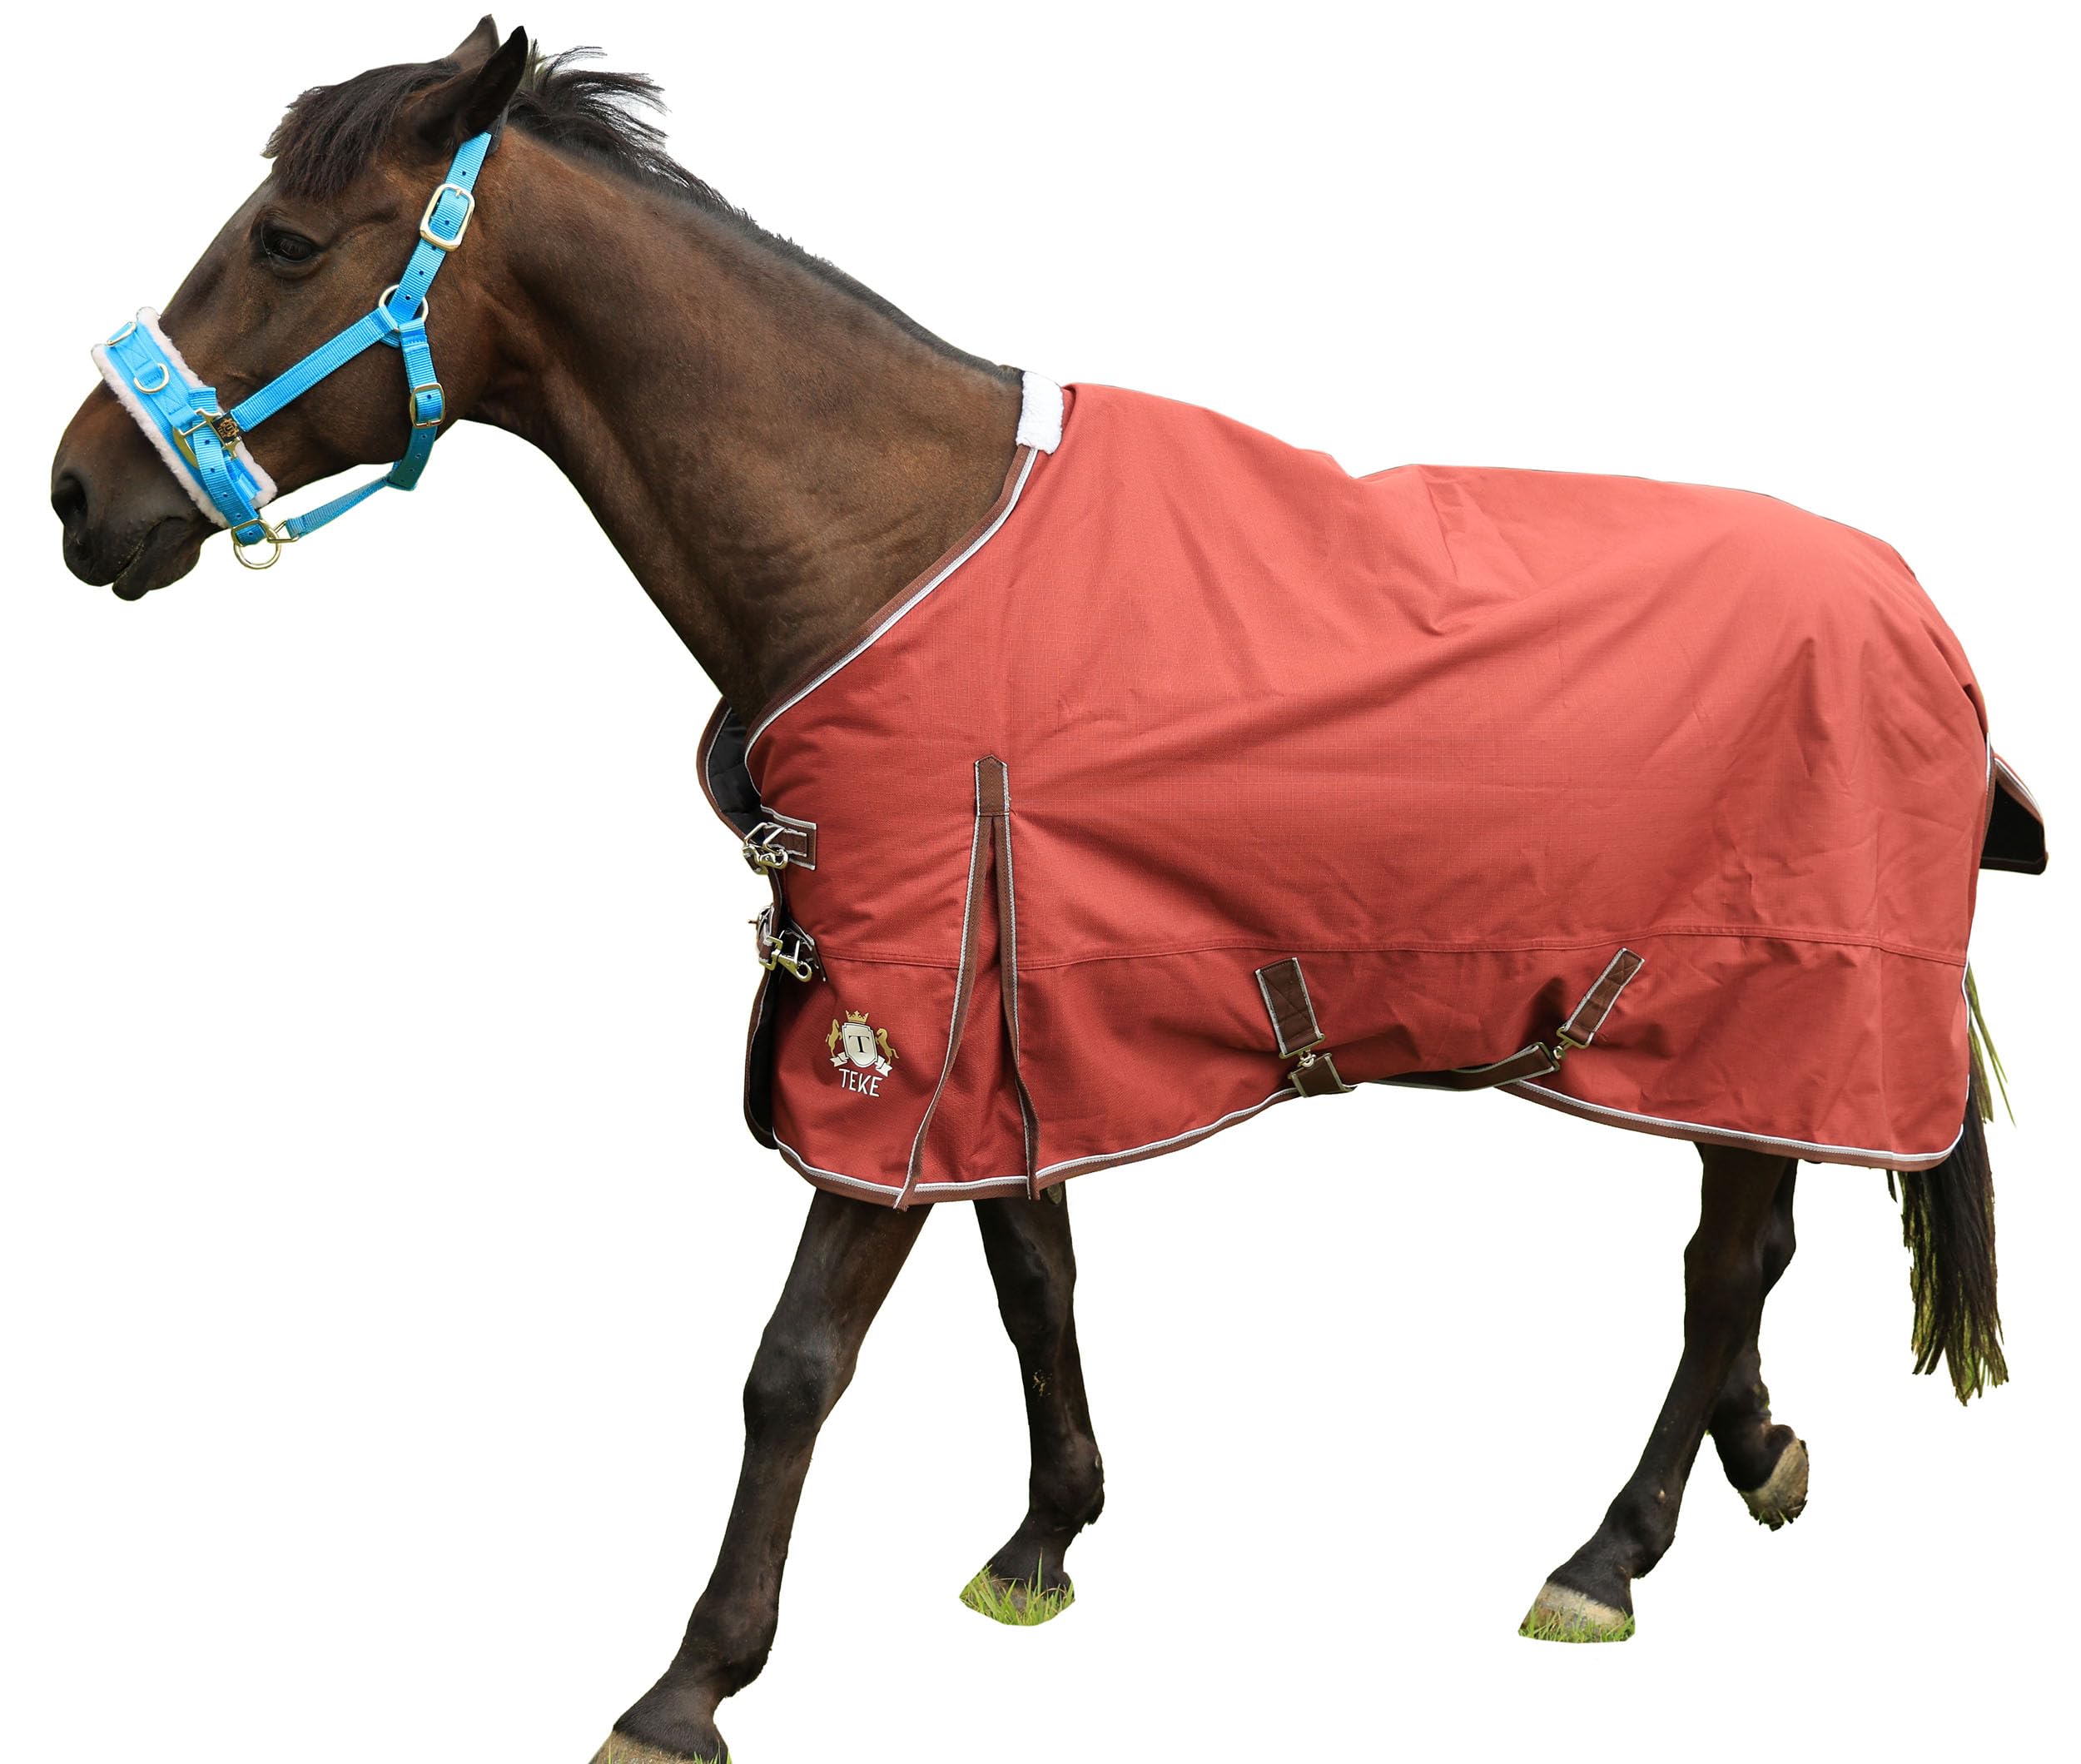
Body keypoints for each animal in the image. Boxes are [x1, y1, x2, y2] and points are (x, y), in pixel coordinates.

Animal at [48, 22, 2045, 1764]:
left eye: (287, 241)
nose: (77, 493)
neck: (885, 541)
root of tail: (1920, 621)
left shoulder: (892, 1026)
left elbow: (795, 1361)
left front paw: (689, 1682)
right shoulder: (1002, 1013)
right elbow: (1033, 1278)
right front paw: (1042, 1538)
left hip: (1750, 999)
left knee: (1721, 1264)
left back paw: (1605, 1553)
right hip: (1732, 1037)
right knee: (1750, 1254)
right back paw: (1751, 1459)